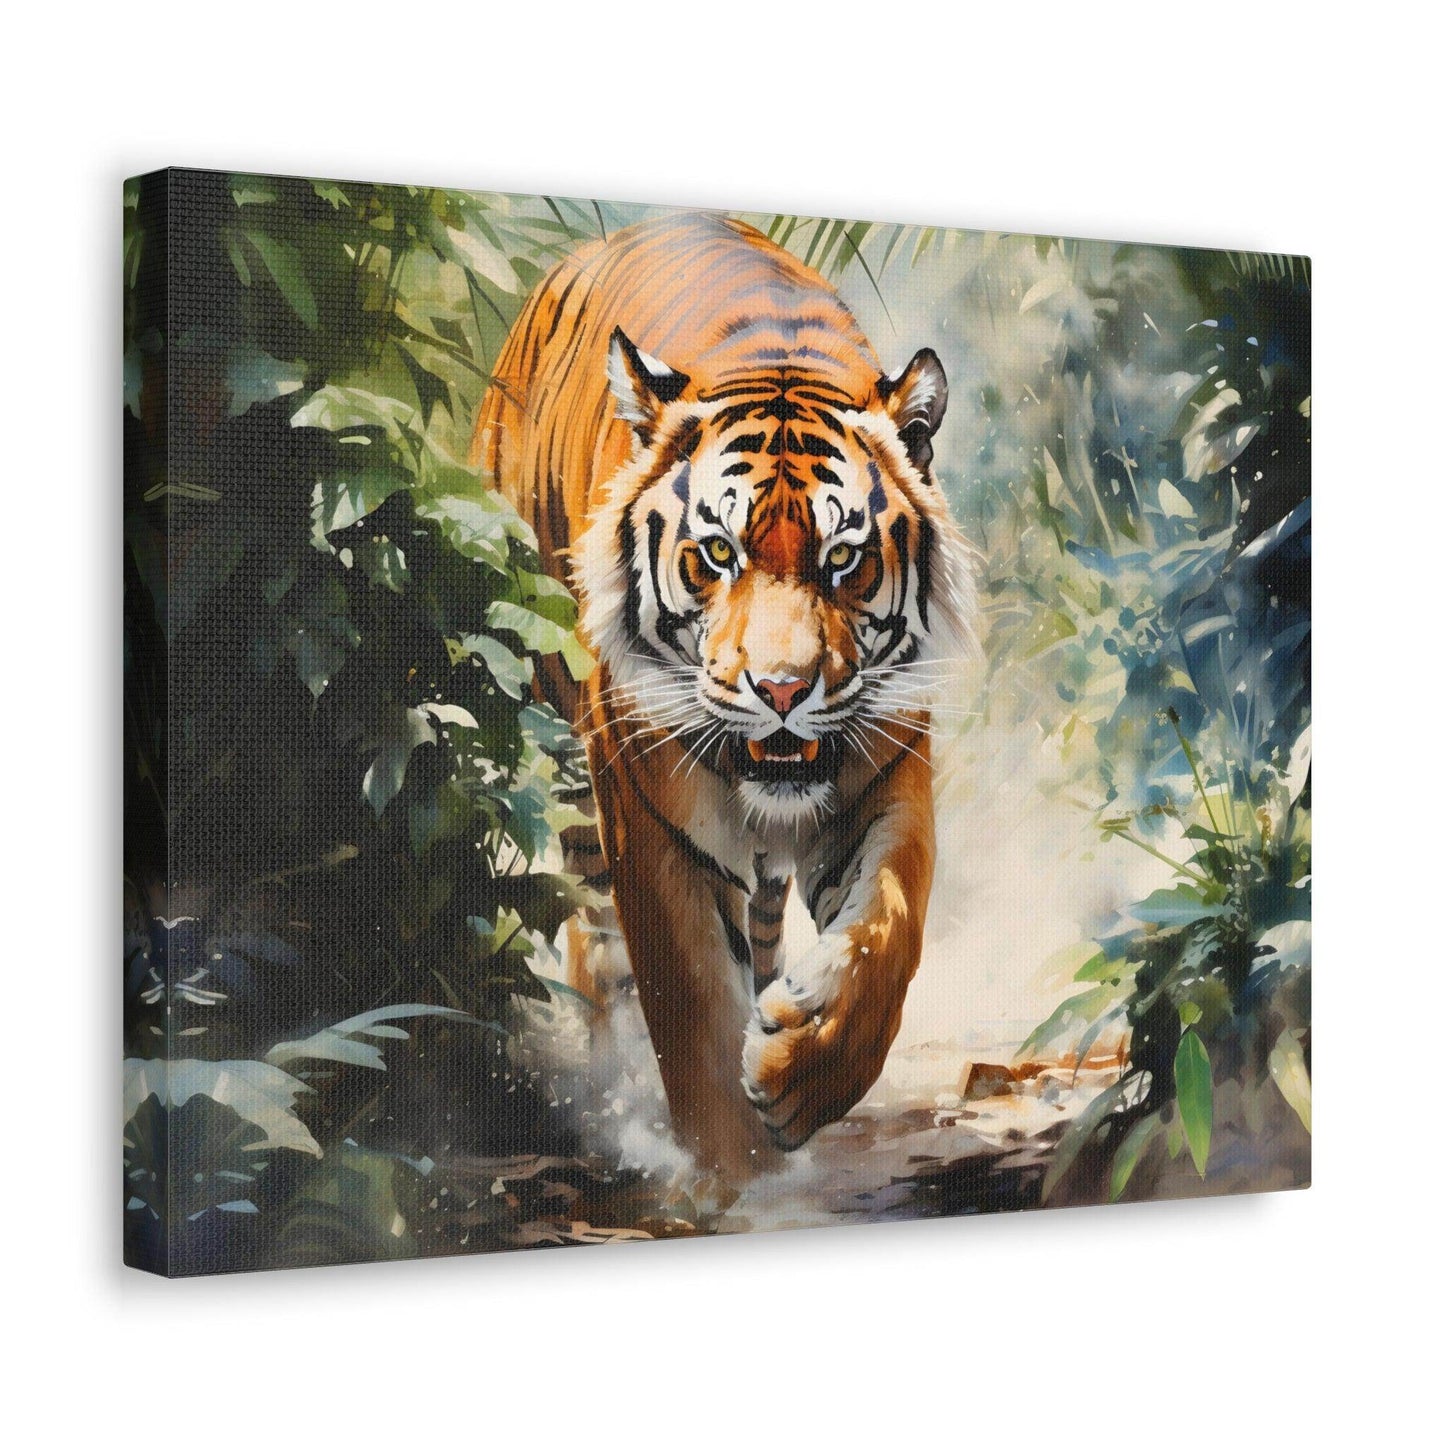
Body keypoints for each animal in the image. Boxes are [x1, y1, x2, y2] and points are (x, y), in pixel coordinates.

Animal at [473, 211, 976, 1179]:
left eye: (842, 558)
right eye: (717, 553)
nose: (780, 689)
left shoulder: (885, 769)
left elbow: (889, 929)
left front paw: (796, 1071)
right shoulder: (650, 815)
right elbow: (692, 1007)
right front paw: (733, 1175)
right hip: (565, 759)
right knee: (599, 953)